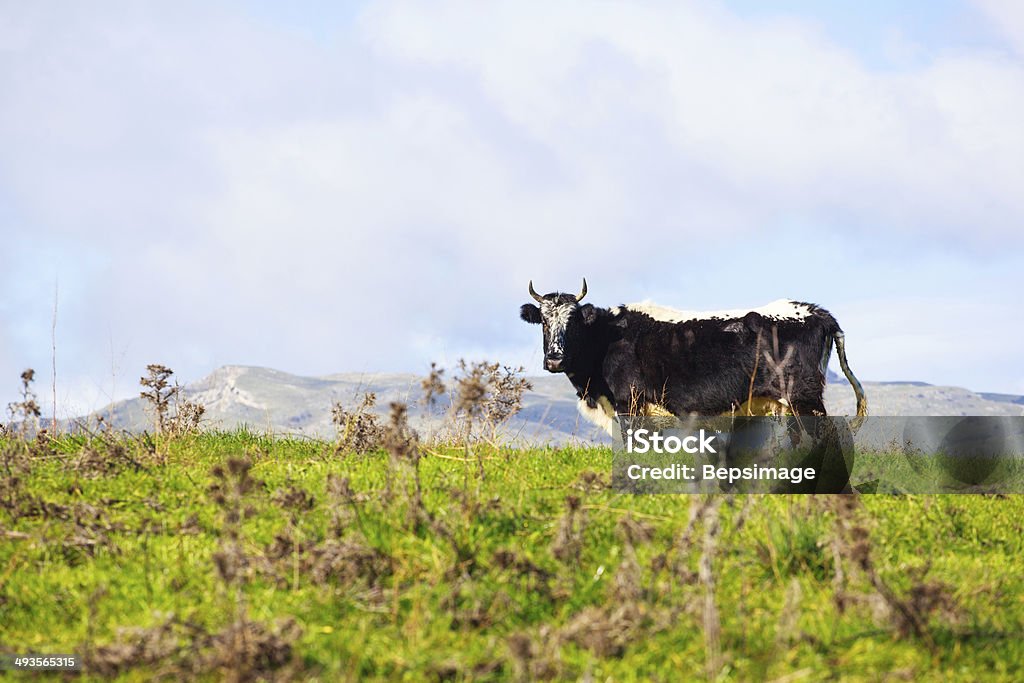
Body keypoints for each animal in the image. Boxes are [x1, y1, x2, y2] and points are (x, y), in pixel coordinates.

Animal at [520, 280, 864, 436]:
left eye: (574, 322)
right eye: (545, 322)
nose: (555, 360)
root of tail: (814, 310)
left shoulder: (630, 404)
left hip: (804, 398)